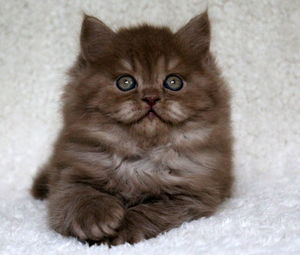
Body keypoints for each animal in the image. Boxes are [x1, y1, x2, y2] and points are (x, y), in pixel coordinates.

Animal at [31, 10, 232, 246]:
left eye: (173, 82)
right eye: (125, 82)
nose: (151, 98)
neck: (140, 156)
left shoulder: (190, 196)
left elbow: (151, 212)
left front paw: (122, 229)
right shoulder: (70, 172)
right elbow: (82, 195)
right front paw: (95, 218)